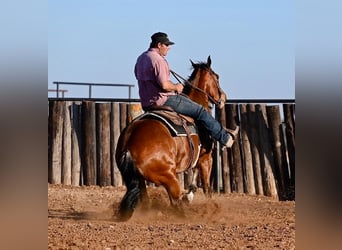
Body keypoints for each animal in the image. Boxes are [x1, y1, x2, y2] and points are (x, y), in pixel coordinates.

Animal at [115, 55, 227, 220]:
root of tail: (129, 147)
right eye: (217, 77)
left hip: (140, 180)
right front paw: (211, 207)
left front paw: (190, 195)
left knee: (146, 200)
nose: (223, 98)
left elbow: (194, 176)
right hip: (169, 177)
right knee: (175, 202)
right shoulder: (206, 158)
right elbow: (207, 187)